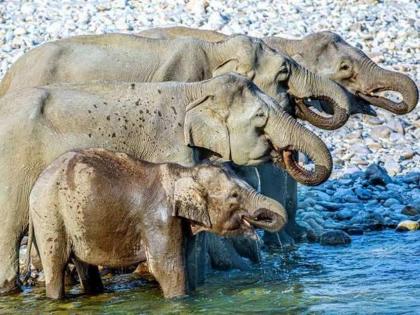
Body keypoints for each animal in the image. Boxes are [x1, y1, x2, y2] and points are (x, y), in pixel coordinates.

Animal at [26, 149, 288, 300]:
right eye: (234, 196)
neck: (185, 173)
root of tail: (36, 183)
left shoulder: (181, 223)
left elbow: (188, 262)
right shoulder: (159, 220)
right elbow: (166, 267)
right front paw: (178, 301)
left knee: (85, 267)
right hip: (49, 216)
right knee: (56, 265)